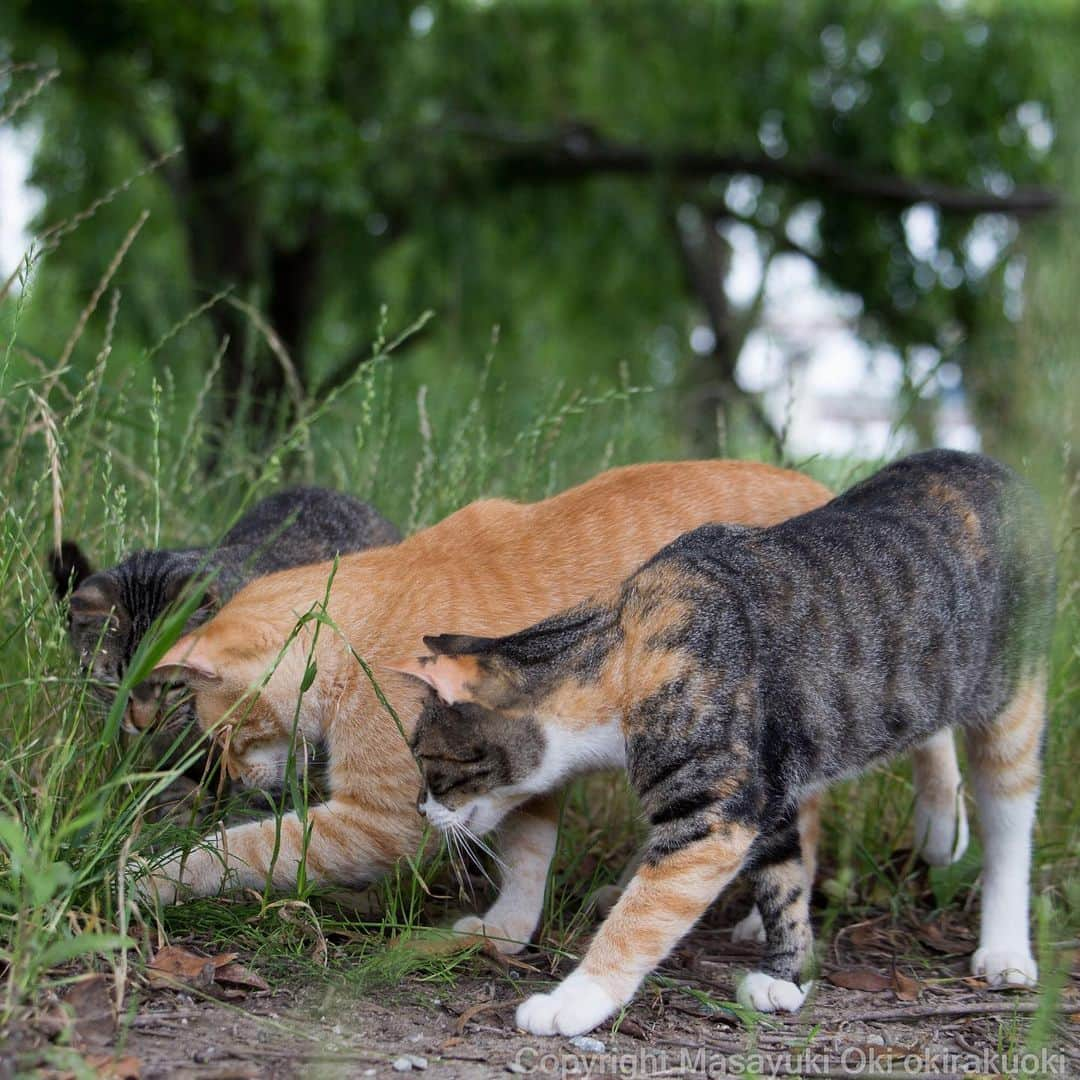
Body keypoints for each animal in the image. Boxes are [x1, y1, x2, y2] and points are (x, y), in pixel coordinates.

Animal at [401, 449, 1049, 1036]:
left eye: (432, 764)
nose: (422, 809)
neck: (623, 646)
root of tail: (978, 461)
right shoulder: (766, 782)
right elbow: (782, 876)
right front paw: (786, 970)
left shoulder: (715, 815)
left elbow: (645, 914)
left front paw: (576, 999)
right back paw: (938, 826)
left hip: (1011, 701)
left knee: (1010, 827)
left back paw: (1006, 947)